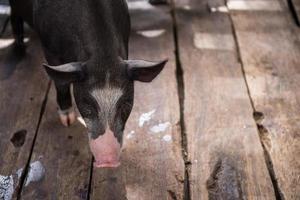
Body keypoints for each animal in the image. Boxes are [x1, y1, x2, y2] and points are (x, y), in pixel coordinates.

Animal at [9, 0, 168, 168]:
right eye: (87, 105)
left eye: (126, 105)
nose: (108, 162)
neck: (103, 57)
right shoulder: (49, 49)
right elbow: (61, 83)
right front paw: (68, 121)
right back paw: (19, 45)